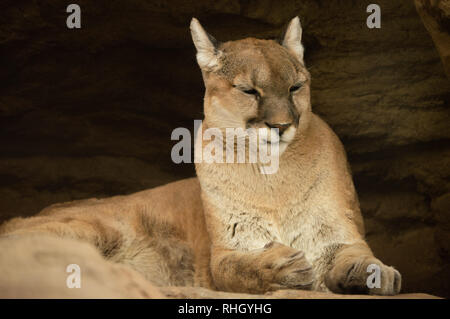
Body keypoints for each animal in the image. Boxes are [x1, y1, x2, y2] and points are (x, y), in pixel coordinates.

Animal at [0, 16, 400, 298]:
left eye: (296, 87)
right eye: (249, 90)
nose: (282, 125)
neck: (273, 178)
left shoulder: (342, 236)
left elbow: (358, 256)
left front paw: (374, 275)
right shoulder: (224, 251)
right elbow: (241, 270)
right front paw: (282, 266)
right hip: (91, 228)